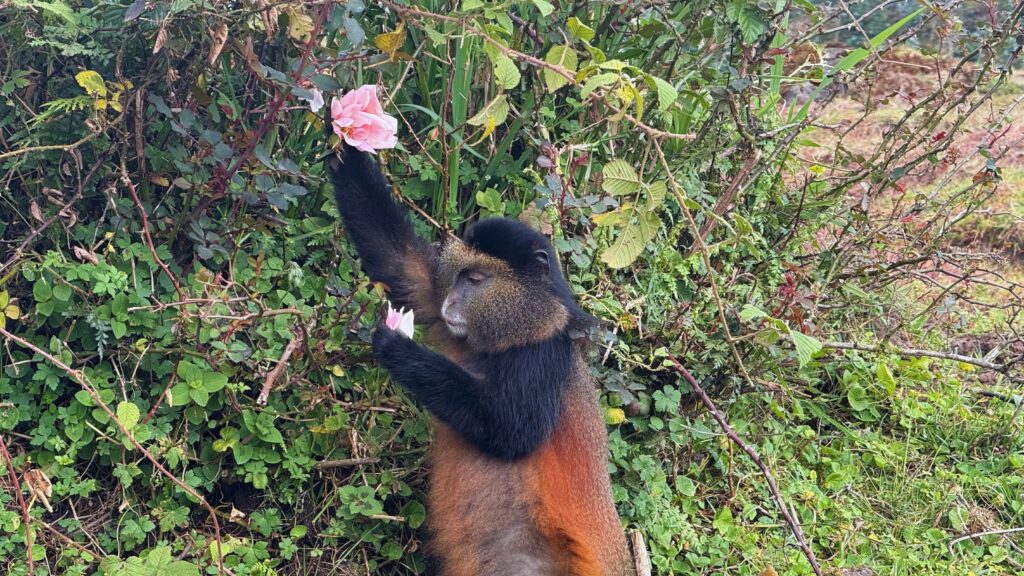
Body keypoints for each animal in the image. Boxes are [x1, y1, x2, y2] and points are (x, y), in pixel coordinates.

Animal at [328, 144, 634, 576]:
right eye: (458, 277)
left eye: (475, 280)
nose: (450, 303)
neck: (517, 330)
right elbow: (401, 267)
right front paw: (344, 143)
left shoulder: (543, 356)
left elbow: (512, 429)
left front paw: (397, 348)